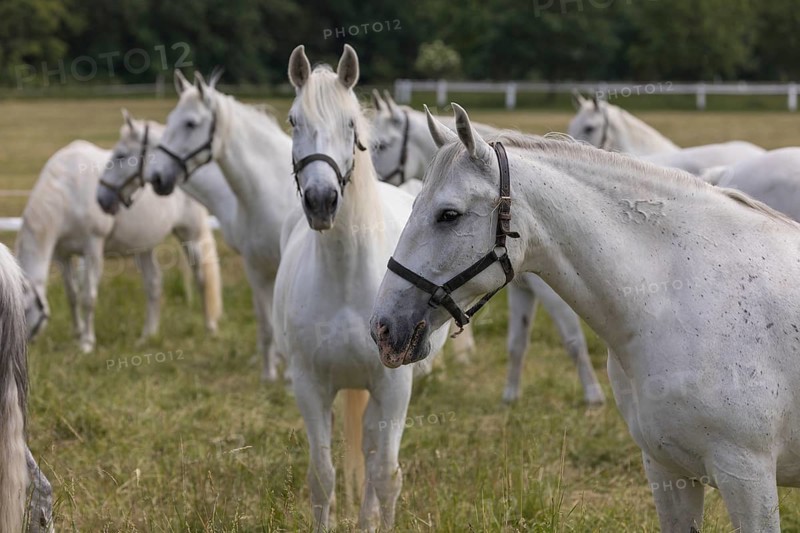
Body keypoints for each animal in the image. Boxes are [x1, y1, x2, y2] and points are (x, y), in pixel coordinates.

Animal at [18, 134, 221, 352]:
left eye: (26, 309)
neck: (68, 190)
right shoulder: (62, 254)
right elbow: (72, 295)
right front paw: (77, 334)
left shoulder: (93, 247)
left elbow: (88, 297)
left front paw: (87, 342)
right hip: (144, 247)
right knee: (154, 284)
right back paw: (148, 336)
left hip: (191, 234)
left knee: (202, 278)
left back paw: (210, 328)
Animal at [144, 69, 297, 382]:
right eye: (170, 119)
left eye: (190, 123)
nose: (157, 177)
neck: (270, 190)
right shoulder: (256, 268)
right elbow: (266, 324)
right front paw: (268, 374)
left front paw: (287, 375)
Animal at [274, 44, 448, 531]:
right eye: (294, 120)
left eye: (350, 124)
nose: (321, 201)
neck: (345, 280)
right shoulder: (310, 385)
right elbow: (322, 477)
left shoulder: (393, 385)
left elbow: (385, 474)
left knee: (372, 452)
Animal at [370, 93, 604, 405]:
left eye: (449, 214)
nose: (381, 329)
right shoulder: (521, 287)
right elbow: (517, 342)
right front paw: (510, 397)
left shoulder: (549, 291)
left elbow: (573, 340)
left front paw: (593, 396)